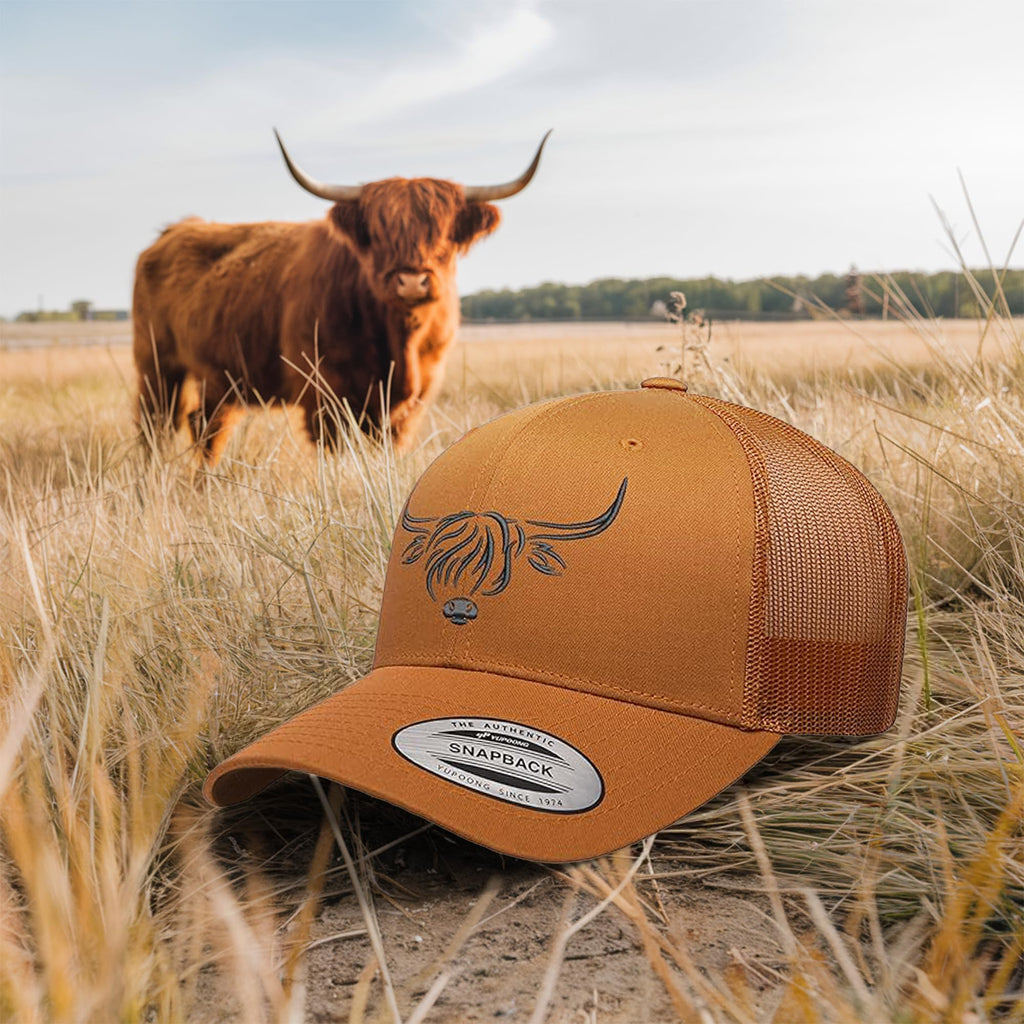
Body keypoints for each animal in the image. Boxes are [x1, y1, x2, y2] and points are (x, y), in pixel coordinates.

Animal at [132, 130, 550, 462]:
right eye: (378, 234)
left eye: (445, 235)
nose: (412, 282)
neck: (400, 342)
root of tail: (175, 229)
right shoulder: (324, 392)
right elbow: (337, 451)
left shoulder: (411, 401)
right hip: (155, 363)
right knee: (155, 424)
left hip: (219, 377)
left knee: (206, 425)